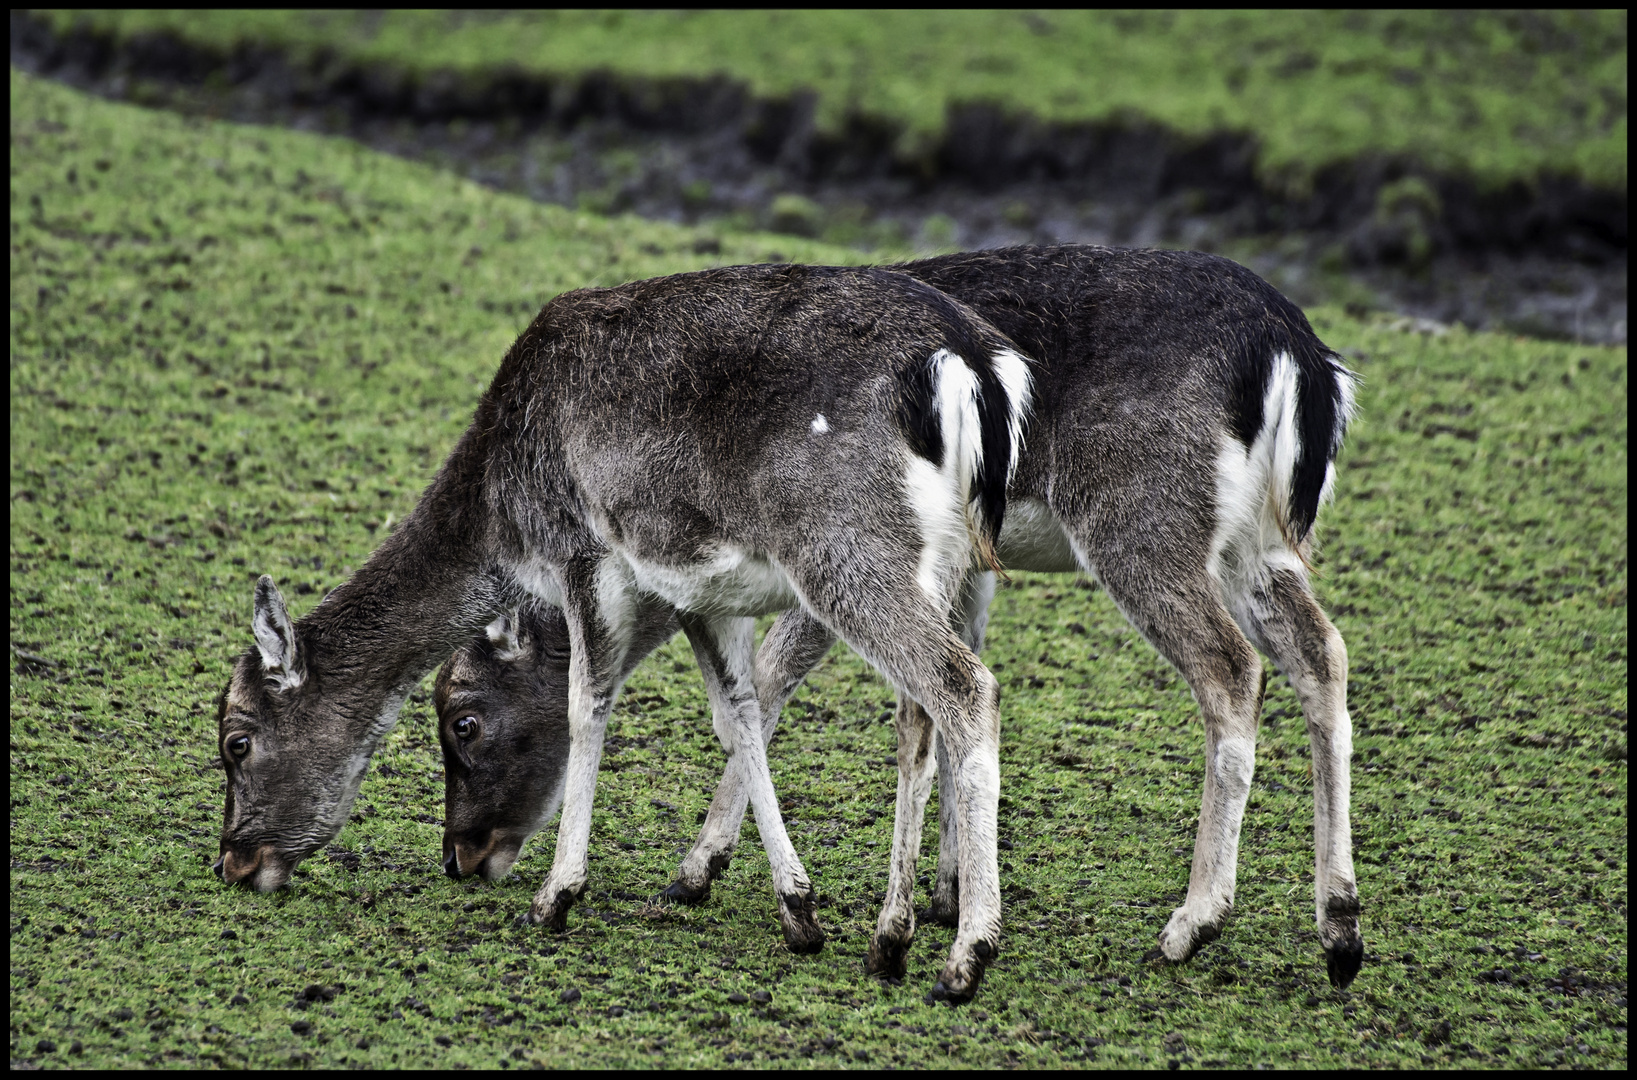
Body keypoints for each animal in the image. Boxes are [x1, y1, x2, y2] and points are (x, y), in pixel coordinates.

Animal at [214, 261, 1034, 1001]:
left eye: (237, 741)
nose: (232, 861)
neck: (502, 506)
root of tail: (974, 367)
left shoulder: (585, 551)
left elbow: (588, 705)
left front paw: (555, 897)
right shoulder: (701, 593)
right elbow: (739, 715)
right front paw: (796, 911)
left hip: (847, 549)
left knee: (965, 688)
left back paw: (965, 958)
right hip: (946, 564)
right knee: (917, 715)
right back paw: (890, 937)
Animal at [428, 242, 1361, 988]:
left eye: (462, 719)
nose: (460, 854)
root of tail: (1301, 354)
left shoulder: (830, 563)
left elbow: (772, 676)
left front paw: (701, 872)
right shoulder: (964, 568)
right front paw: (942, 891)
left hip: (1143, 523)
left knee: (1231, 668)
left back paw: (1185, 926)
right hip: (1258, 543)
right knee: (1322, 650)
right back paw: (1339, 930)